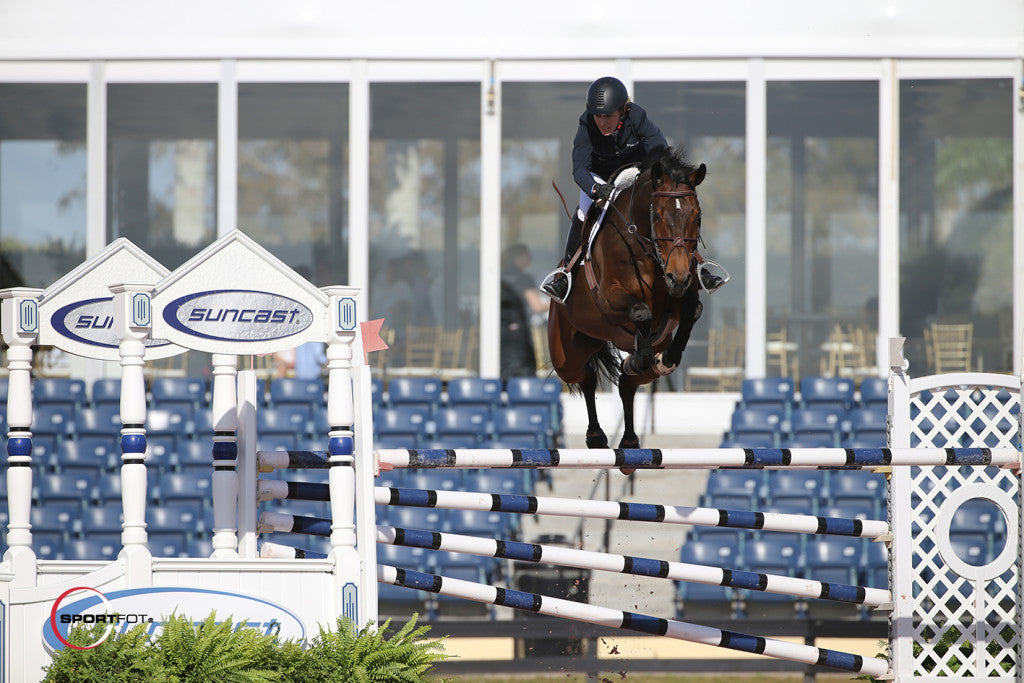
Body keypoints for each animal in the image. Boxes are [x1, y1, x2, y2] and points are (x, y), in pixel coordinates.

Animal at [548, 148, 708, 458]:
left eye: (697, 217)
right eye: (657, 215)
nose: (678, 278)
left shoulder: (678, 298)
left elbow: (692, 310)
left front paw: (667, 359)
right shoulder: (610, 298)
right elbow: (640, 311)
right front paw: (642, 355)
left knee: (626, 382)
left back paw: (630, 438)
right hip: (566, 354)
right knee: (585, 376)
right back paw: (597, 436)